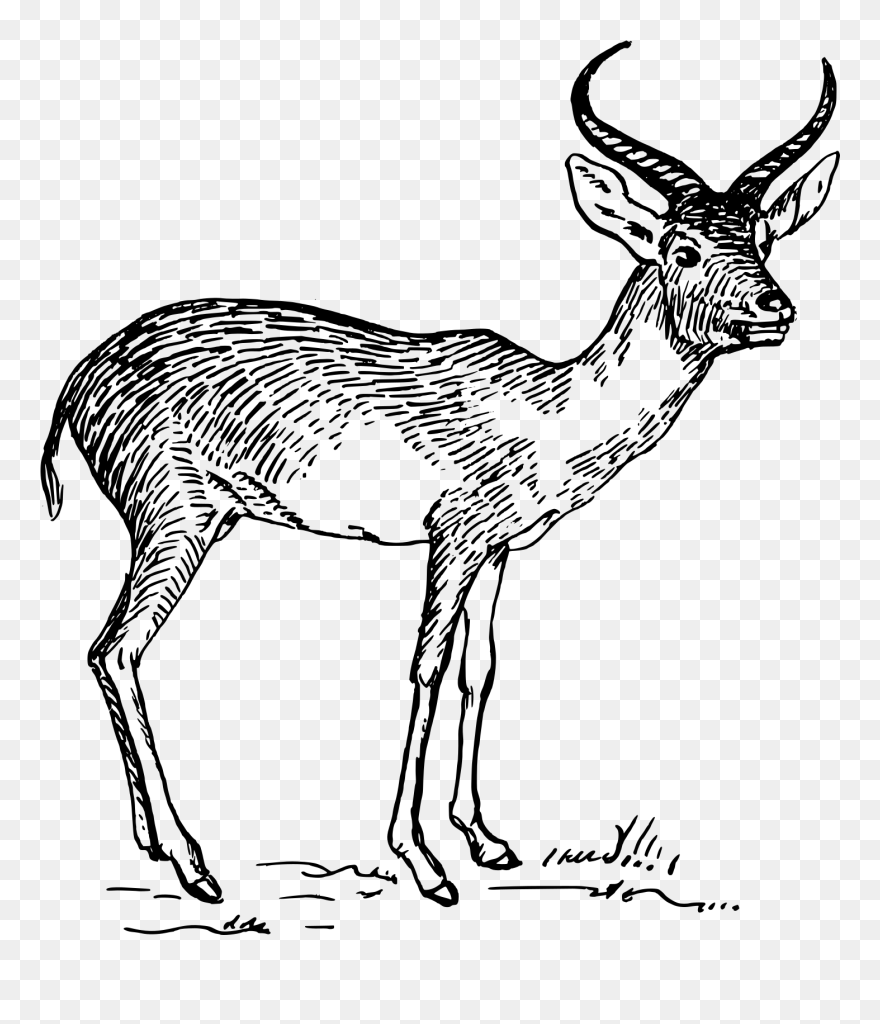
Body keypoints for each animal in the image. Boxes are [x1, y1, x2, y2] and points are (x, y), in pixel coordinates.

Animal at [42, 42, 839, 907]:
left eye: (763, 239)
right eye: (681, 247)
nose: (773, 309)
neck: (547, 408)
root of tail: (78, 377)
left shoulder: (498, 551)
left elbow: (477, 672)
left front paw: (486, 841)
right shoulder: (449, 540)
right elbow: (423, 669)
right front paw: (421, 862)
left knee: (106, 653)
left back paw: (153, 844)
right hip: (176, 520)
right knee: (118, 649)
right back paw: (195, 867)